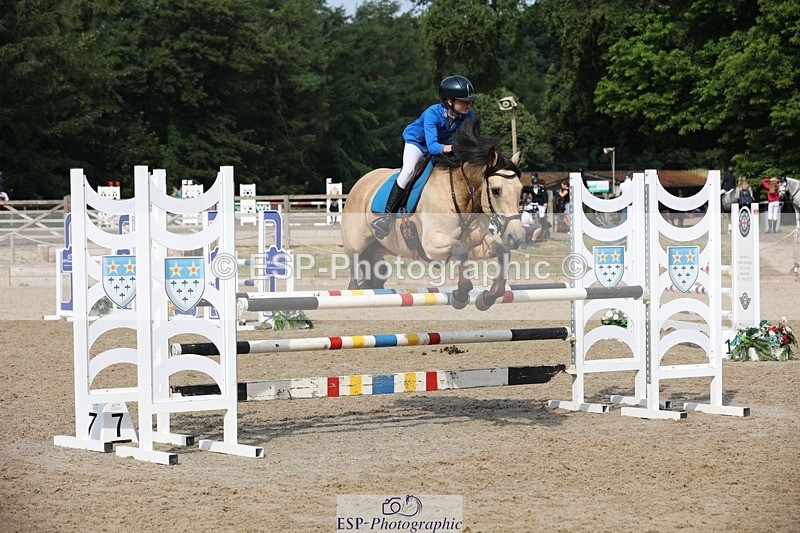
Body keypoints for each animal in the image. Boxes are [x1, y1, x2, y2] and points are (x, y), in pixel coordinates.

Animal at [341, 118, 525, 311]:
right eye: (496, 191)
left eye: (521, 190)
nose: (517, 237)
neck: (460, 195)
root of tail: (361, 183)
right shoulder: (432, 244)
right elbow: (461, 250)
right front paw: (460, 295)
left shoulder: (476, 243)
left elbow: (502, 252)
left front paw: (489, 296)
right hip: (355, 247)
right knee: (354, 277)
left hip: (378, 248)